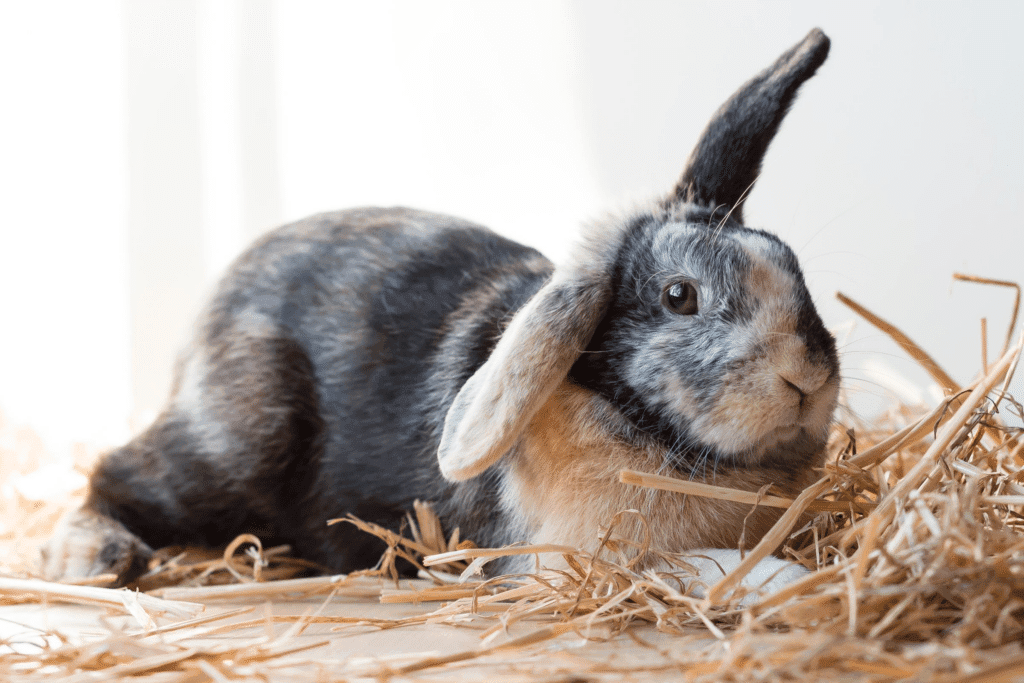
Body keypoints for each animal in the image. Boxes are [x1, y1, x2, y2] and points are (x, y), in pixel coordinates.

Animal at [43, 28, 838, 602]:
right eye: (680, 296)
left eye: (793, 262)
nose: (806, 377)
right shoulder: (583, 560)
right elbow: (712, 567)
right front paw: (792, 584)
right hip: (233, 441)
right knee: (110, 476)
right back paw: (97, 560)